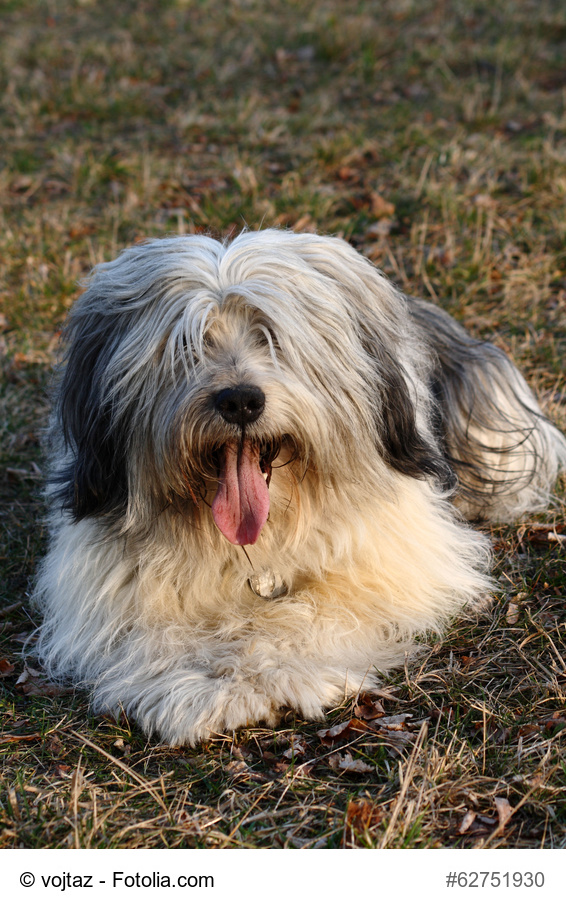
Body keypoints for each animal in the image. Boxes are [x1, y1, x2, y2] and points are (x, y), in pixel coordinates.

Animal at [32, 232, 566, 744]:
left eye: (271, 337)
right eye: (188, 345)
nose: (240, 401)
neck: (260, 540)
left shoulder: (390, 565)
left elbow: (309, 610)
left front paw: (265, 670)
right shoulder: (110, 585)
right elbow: (156, 629)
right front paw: (198, 687)